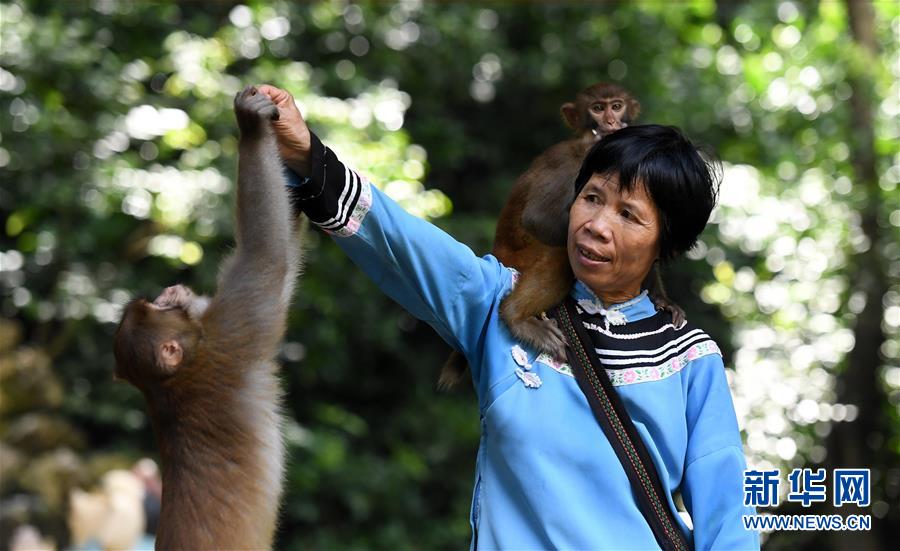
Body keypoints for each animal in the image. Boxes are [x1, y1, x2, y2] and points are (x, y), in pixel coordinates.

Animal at [113, 85, 298, 551]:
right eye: (158, 311)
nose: (170, 295)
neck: (174, 380)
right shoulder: (230, 335)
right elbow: (267, 257)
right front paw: (252, 126)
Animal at [440, 84, 684, 390]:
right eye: (597, 109)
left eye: (616, 106)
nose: (611, 122)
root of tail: (498, 250)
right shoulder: (573, 161)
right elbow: (538, 218)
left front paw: (662, 298)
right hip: (521, 257)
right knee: (560, 254)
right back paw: (516, 315)